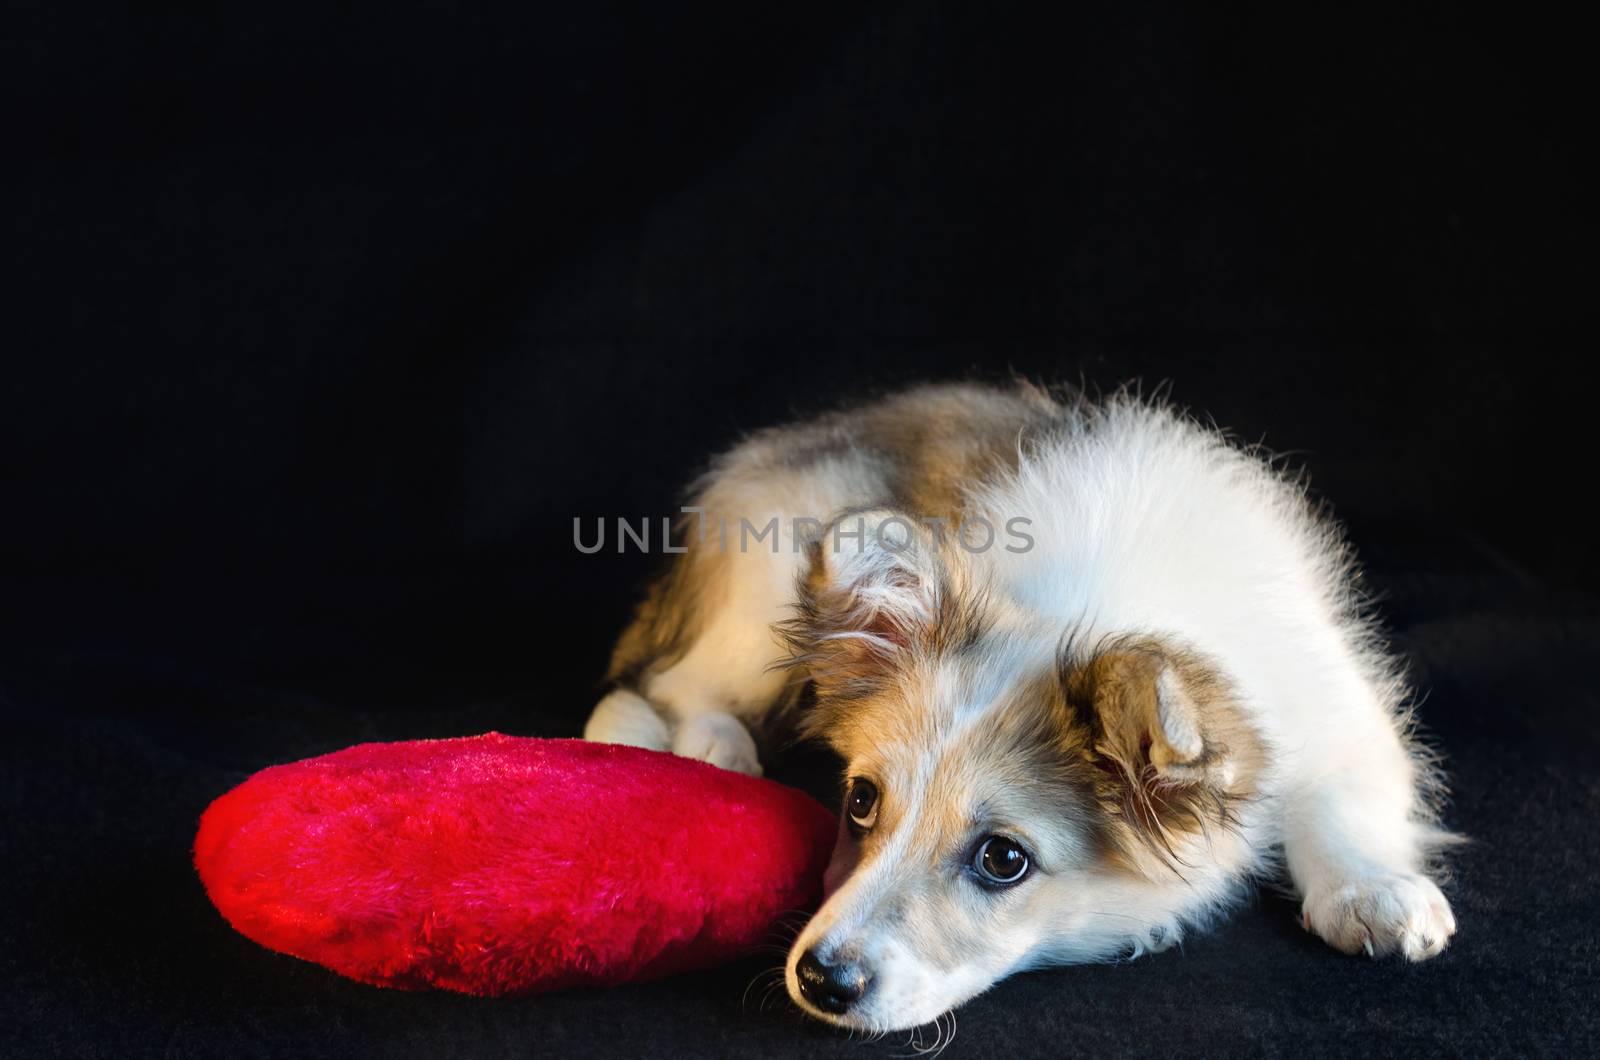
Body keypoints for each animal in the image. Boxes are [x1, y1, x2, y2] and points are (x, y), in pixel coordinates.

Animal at [582, 384, 1459, 1037]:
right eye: (861, 800)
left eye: (1004, 859)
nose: (821, 981)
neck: (1096, 613)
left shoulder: (1344, 715)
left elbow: (1342, 802)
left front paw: (1372, 891)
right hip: (765, 582)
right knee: (663, 684)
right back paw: (707, 744)